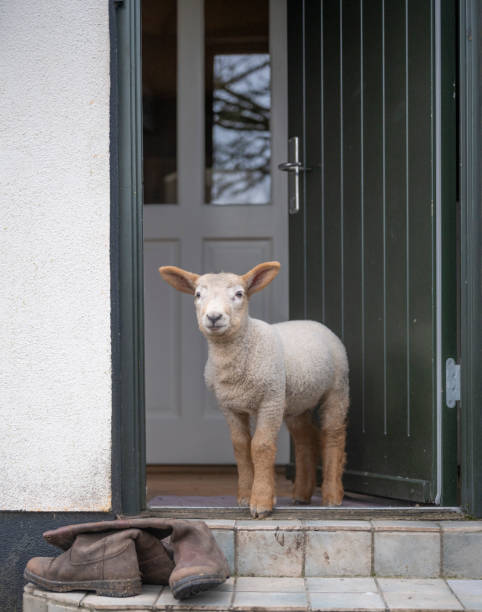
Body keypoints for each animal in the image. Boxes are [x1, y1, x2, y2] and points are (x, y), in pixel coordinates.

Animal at [160, 260, 348, 520]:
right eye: (198, 295)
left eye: (239, 294)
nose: (214, 317)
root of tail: (311, 322)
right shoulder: (229, 405)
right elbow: (241, 446)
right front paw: (245, 496)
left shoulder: (270, 400)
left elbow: (261, 445)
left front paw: (261, 501)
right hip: (295, 400)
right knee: (304, 439)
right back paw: (301, 494)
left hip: (336, 388)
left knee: (333, 435)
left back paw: (332, 495)